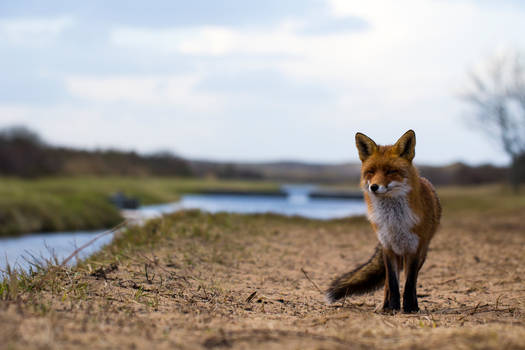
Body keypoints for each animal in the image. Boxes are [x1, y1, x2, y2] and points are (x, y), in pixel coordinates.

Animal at [326, 130, 440, 314]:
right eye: (371, 172)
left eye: (390, 171)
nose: (374, 187)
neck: (394, 221)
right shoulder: (388, 247)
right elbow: (392, 284)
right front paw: (393, 307)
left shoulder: (414, 249)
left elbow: (409, 283)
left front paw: (409, 308)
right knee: (387, 282)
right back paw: (384, 305)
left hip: (421, 253)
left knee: (412, 279)